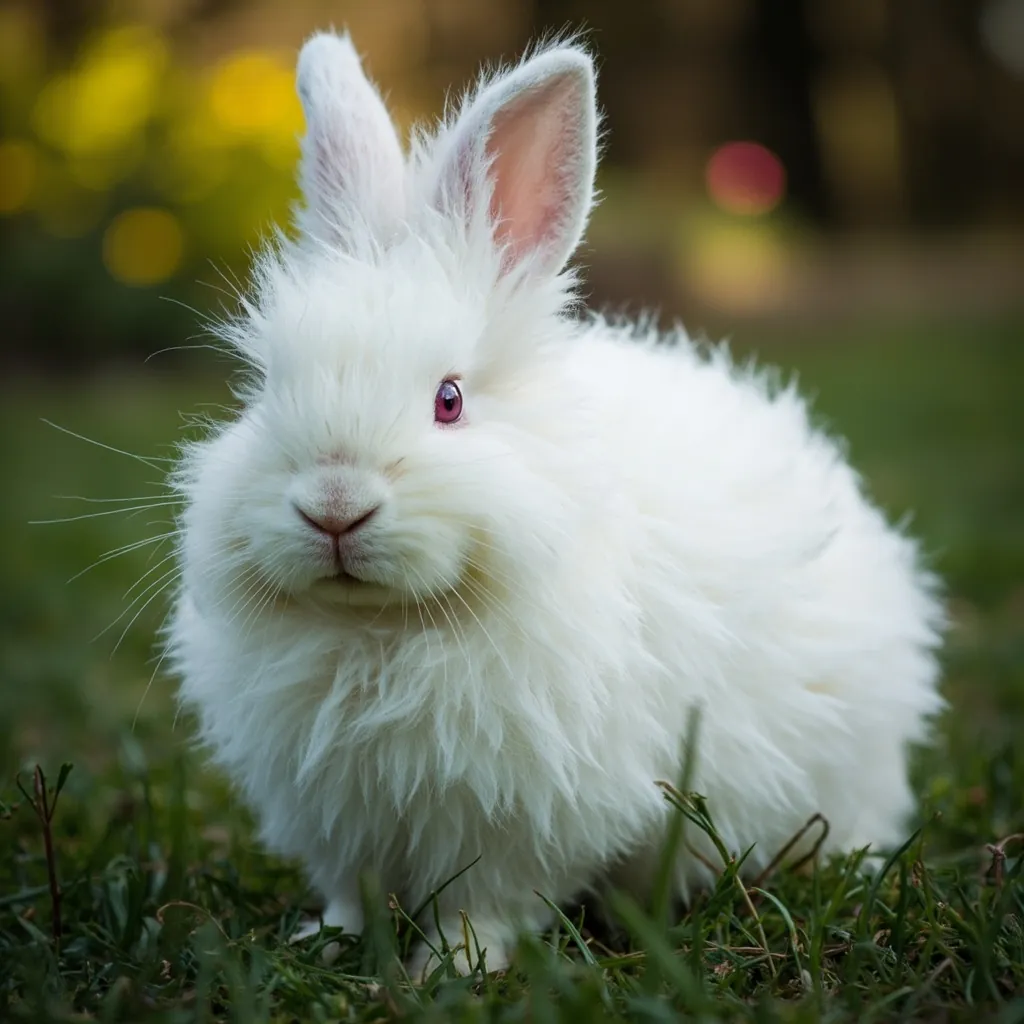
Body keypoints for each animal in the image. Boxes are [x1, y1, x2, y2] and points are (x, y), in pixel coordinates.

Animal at [166, 30, 946, 979]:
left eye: (450, 399)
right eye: (266, 388)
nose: (334, 505)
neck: (384, 628)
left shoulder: (524, 819)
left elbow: (487, 899)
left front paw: (454, 967)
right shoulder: (335, 815)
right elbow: (352, 887)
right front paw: (330, 940)